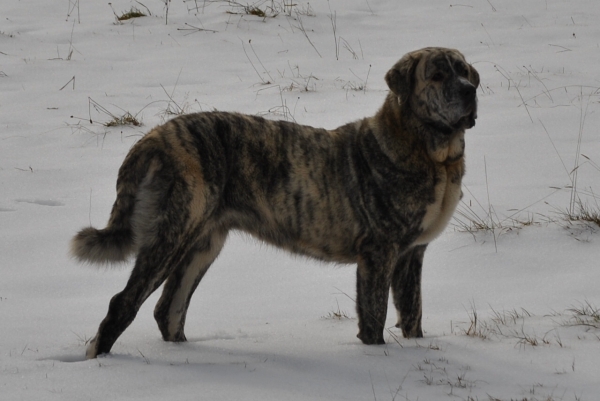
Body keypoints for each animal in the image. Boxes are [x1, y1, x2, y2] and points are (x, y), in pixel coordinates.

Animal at [72, 47, 480, 360]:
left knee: (168, 308)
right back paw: (100, 360)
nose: (469, 90)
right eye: (437, 75)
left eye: (464, 72)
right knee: (124, 303)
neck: (434, 155)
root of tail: (151, 139)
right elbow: (374, 319)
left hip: (204, 242)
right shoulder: (378, 253)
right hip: (172, 234)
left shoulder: (412, 255)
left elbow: (412, 314)